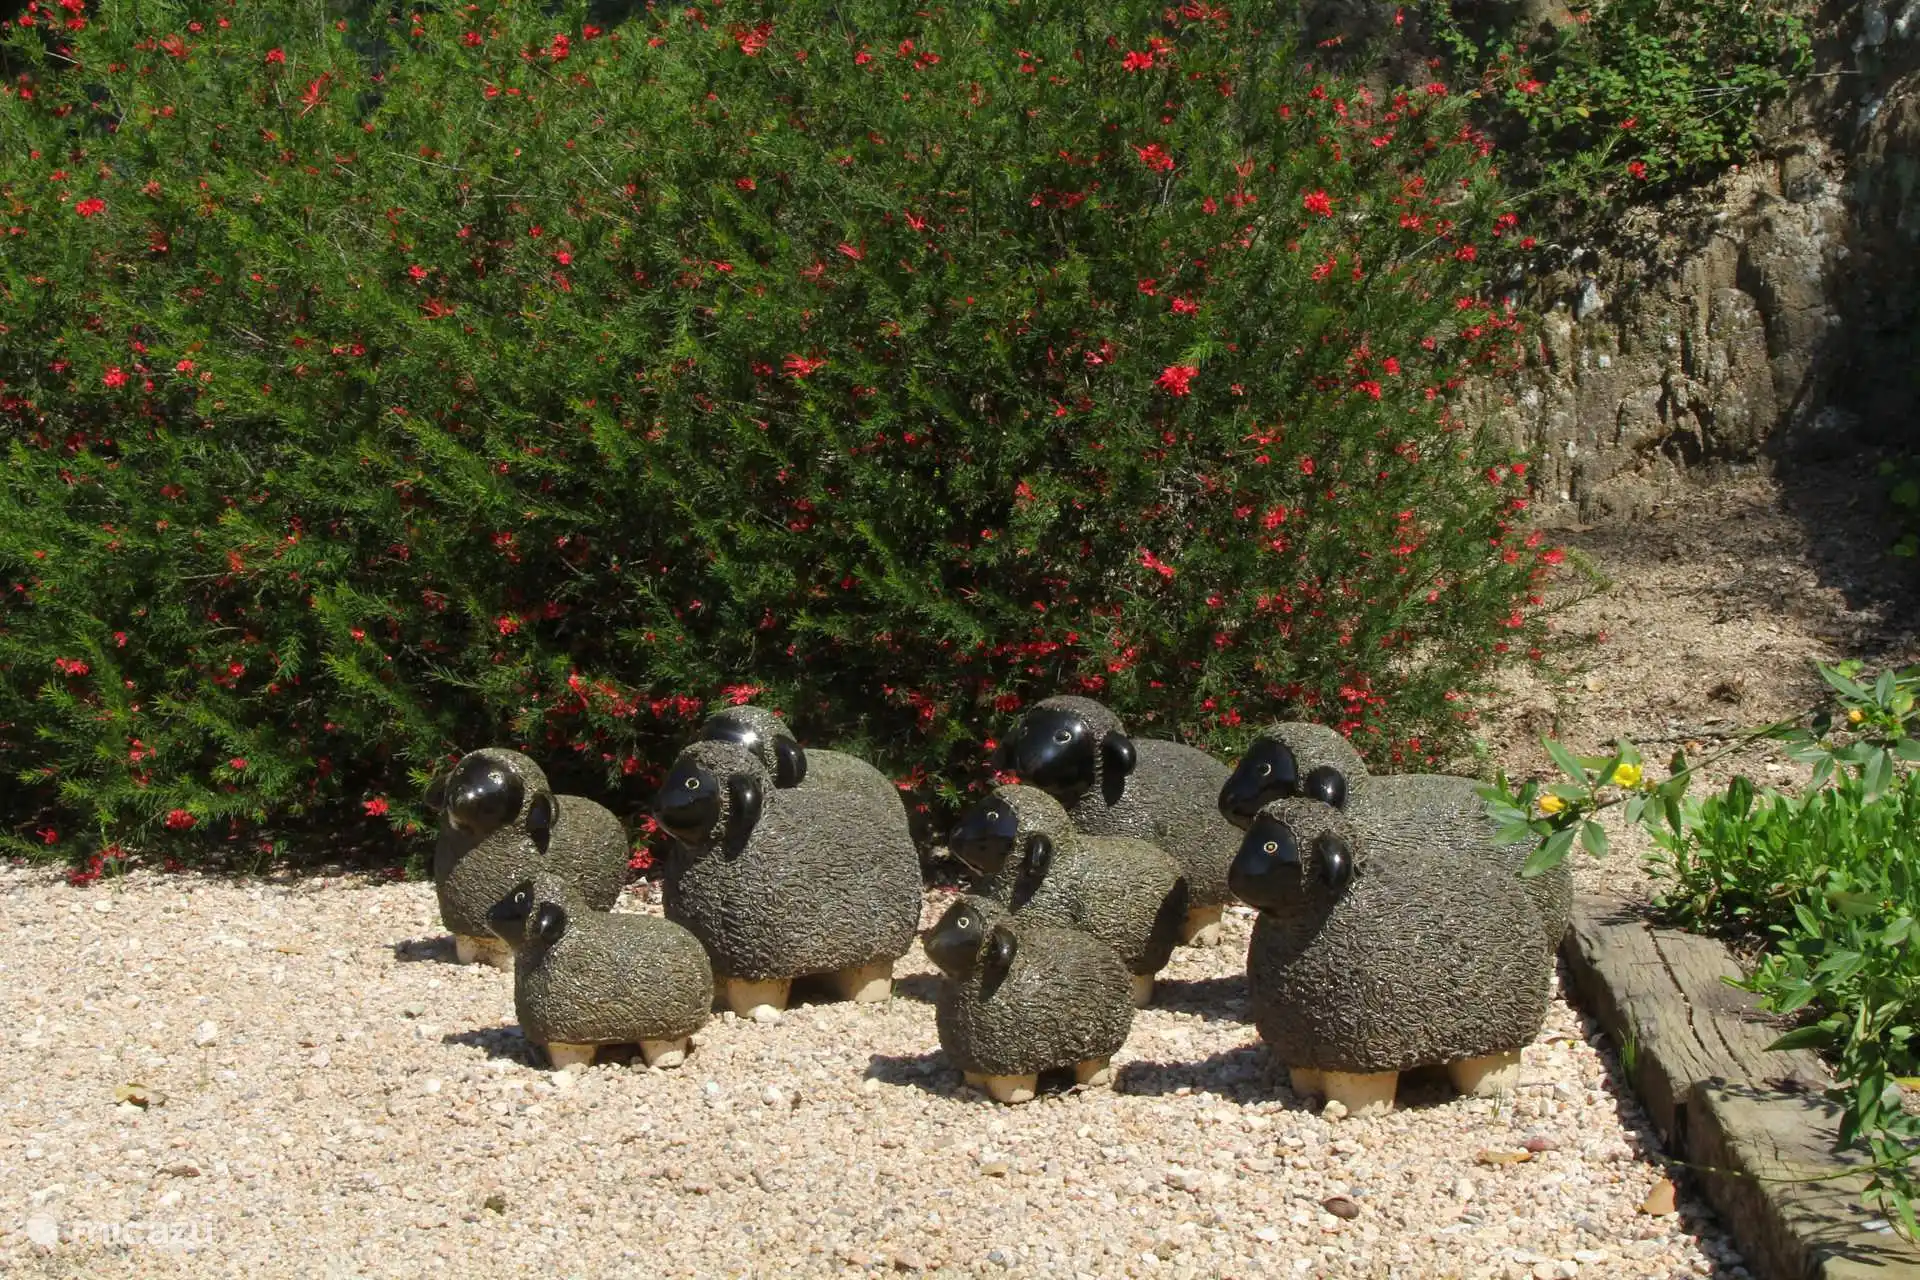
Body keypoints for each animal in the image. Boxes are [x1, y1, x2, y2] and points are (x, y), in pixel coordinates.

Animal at [924, 894, 1136, 1104]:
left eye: (963, 922)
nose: (929, 943)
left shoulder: (1013, 1062)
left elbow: (1012, 1088)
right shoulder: (970, 1056)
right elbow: (973, 1077)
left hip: (1101, 1044)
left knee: (1094, 1065)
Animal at [1230, 796, 1553, 1116]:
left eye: (1271, 847)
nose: (1234, 877)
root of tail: (1510, 884)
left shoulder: (1358, 1049)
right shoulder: (1301, 1047)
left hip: (1500, 1034)